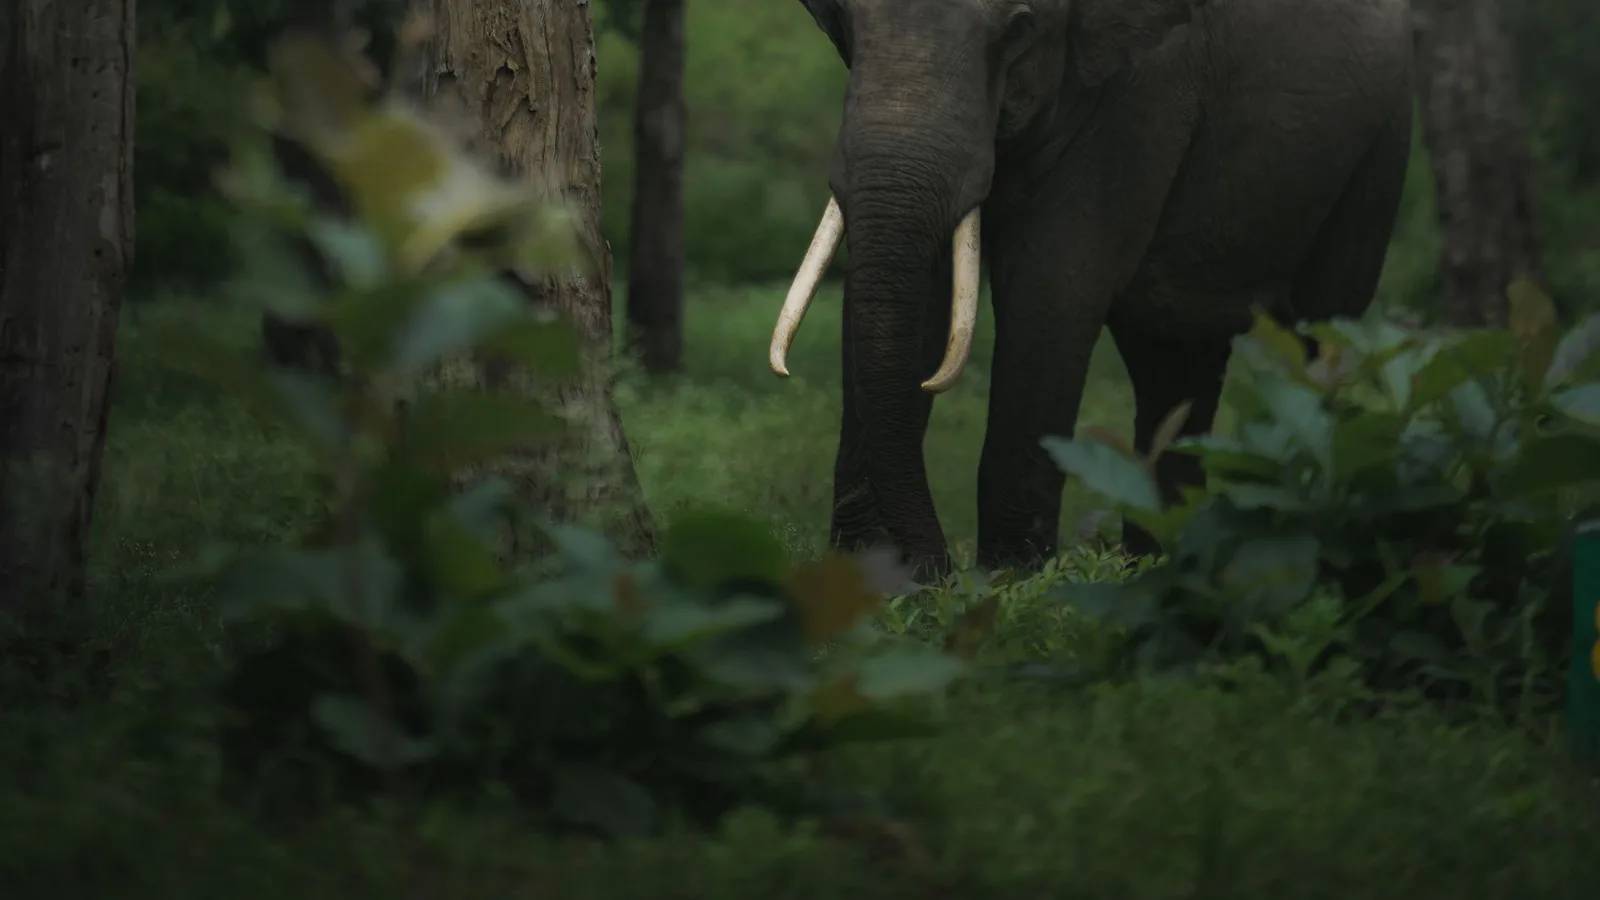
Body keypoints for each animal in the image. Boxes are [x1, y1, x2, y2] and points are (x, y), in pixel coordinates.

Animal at [768, 0, 1415, 582]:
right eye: (844, 19)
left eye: (1020, 28)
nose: (938, 571)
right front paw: (873, 592)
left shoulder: (1142, 92)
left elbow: (1052, 288)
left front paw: (1011, 588)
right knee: (1174, 366)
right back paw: (1162, 568)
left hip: (1377, 158)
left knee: (1321, 332)